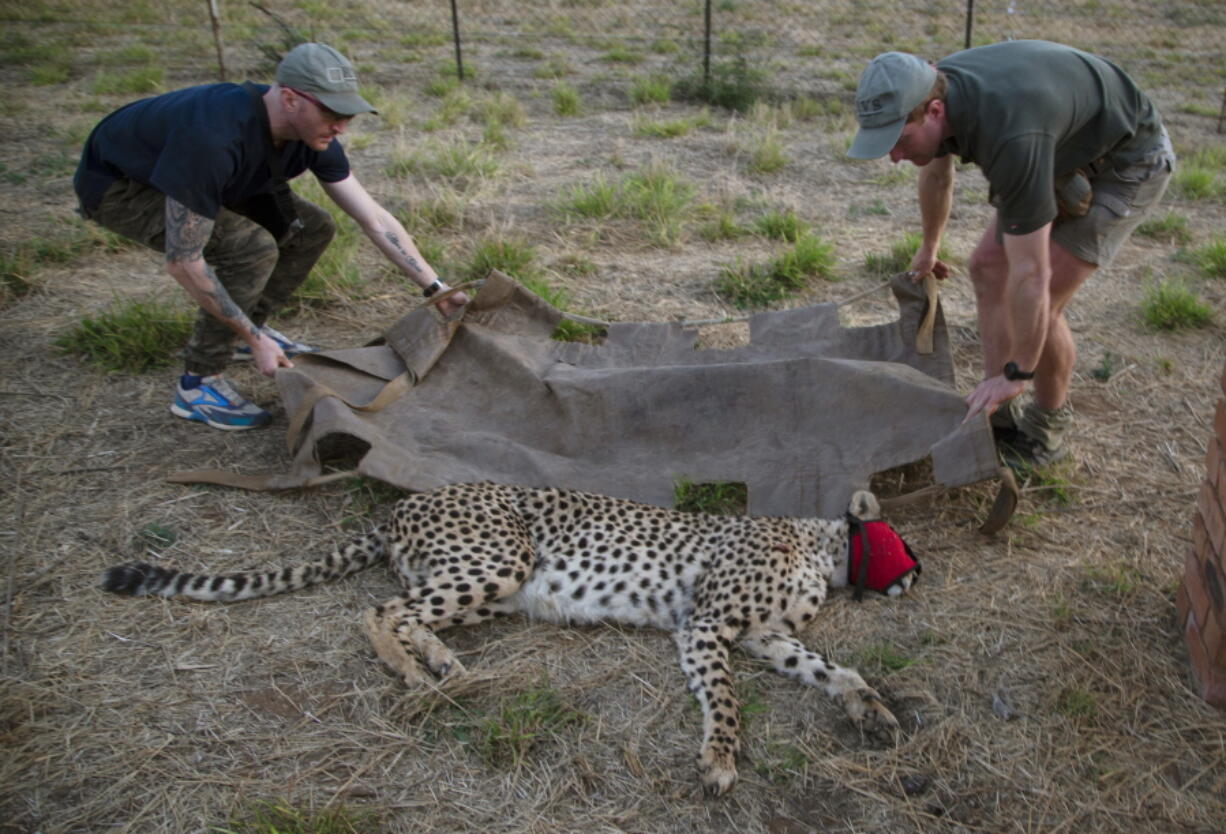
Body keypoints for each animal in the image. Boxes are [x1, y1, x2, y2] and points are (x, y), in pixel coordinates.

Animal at [102, 483, 912, 794]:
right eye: (901, 540)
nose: (919, 571)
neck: (823, 550)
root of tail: (403, 503)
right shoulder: (710, 625)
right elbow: (727, 699)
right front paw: (718, 759)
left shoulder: (763, 637)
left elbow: (832, 669)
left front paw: (870, 708)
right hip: (501, 561)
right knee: (376, 613)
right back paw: (413, 677)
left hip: (491, 592)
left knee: (411, 612)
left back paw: (442, 664)